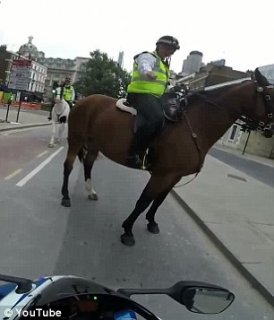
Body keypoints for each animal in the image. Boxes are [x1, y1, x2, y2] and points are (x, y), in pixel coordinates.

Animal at [60, 69, 274, 246]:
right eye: (269, 95)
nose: (271, 130)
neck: (195, 124)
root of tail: (84, 100)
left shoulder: (174, 175)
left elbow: (159, 199)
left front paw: (151, 222)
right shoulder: (162, 174)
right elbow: (144, 200)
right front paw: (128, 230)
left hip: (94, 144)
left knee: (88, 165)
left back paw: (90, 191)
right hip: (77, 139)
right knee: (68, 165)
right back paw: (66, 196)